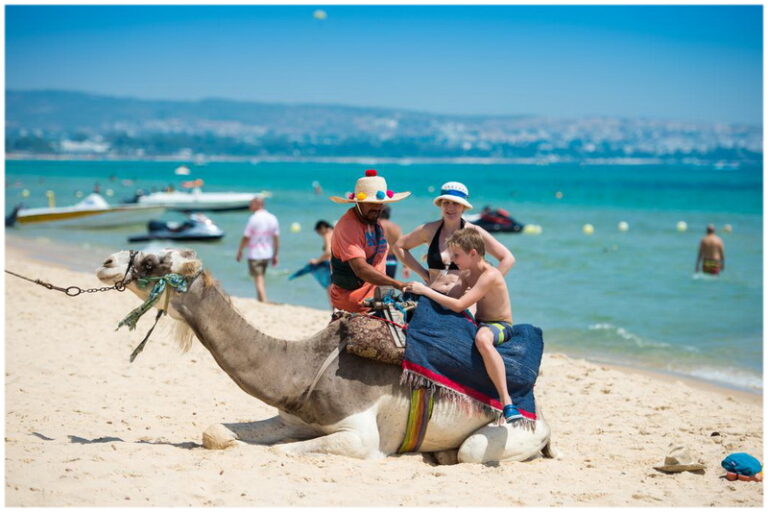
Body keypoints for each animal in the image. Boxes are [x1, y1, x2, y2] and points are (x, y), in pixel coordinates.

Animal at [96, 248, 556, 464]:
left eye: (154, 261)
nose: (107, 262)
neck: (304, 367)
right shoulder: (292, 417)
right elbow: (216, 432)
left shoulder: (361, 433)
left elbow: (284, 452)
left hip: (510, 431)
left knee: (472, 451)